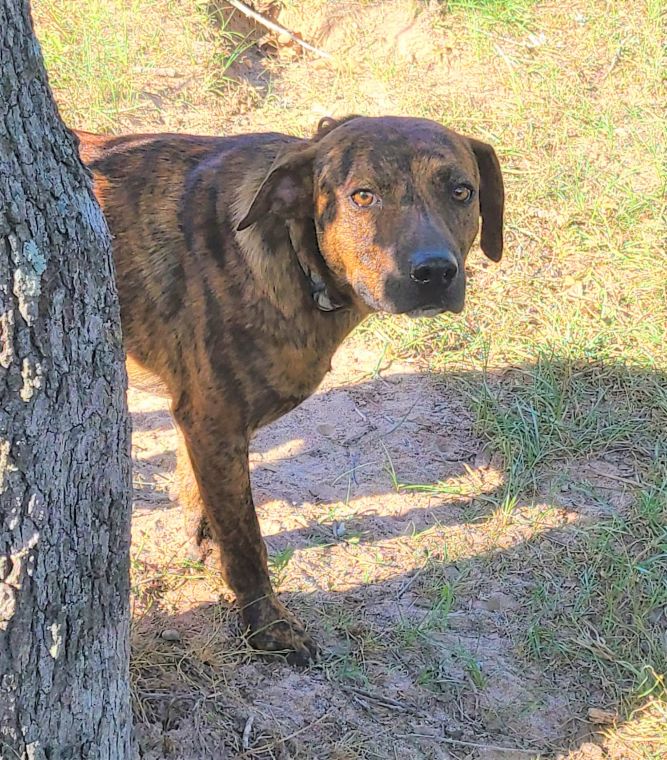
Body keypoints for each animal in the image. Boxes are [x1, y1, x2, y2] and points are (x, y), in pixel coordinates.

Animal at [77, 114, 506, 664]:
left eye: (461, 191)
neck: (292, 251)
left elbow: (201, 493)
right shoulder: (214, 422)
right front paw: (267, 627)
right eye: (362, 196)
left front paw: (204, 537)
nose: (434, 272)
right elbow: (246, 540)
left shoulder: (197, 421)